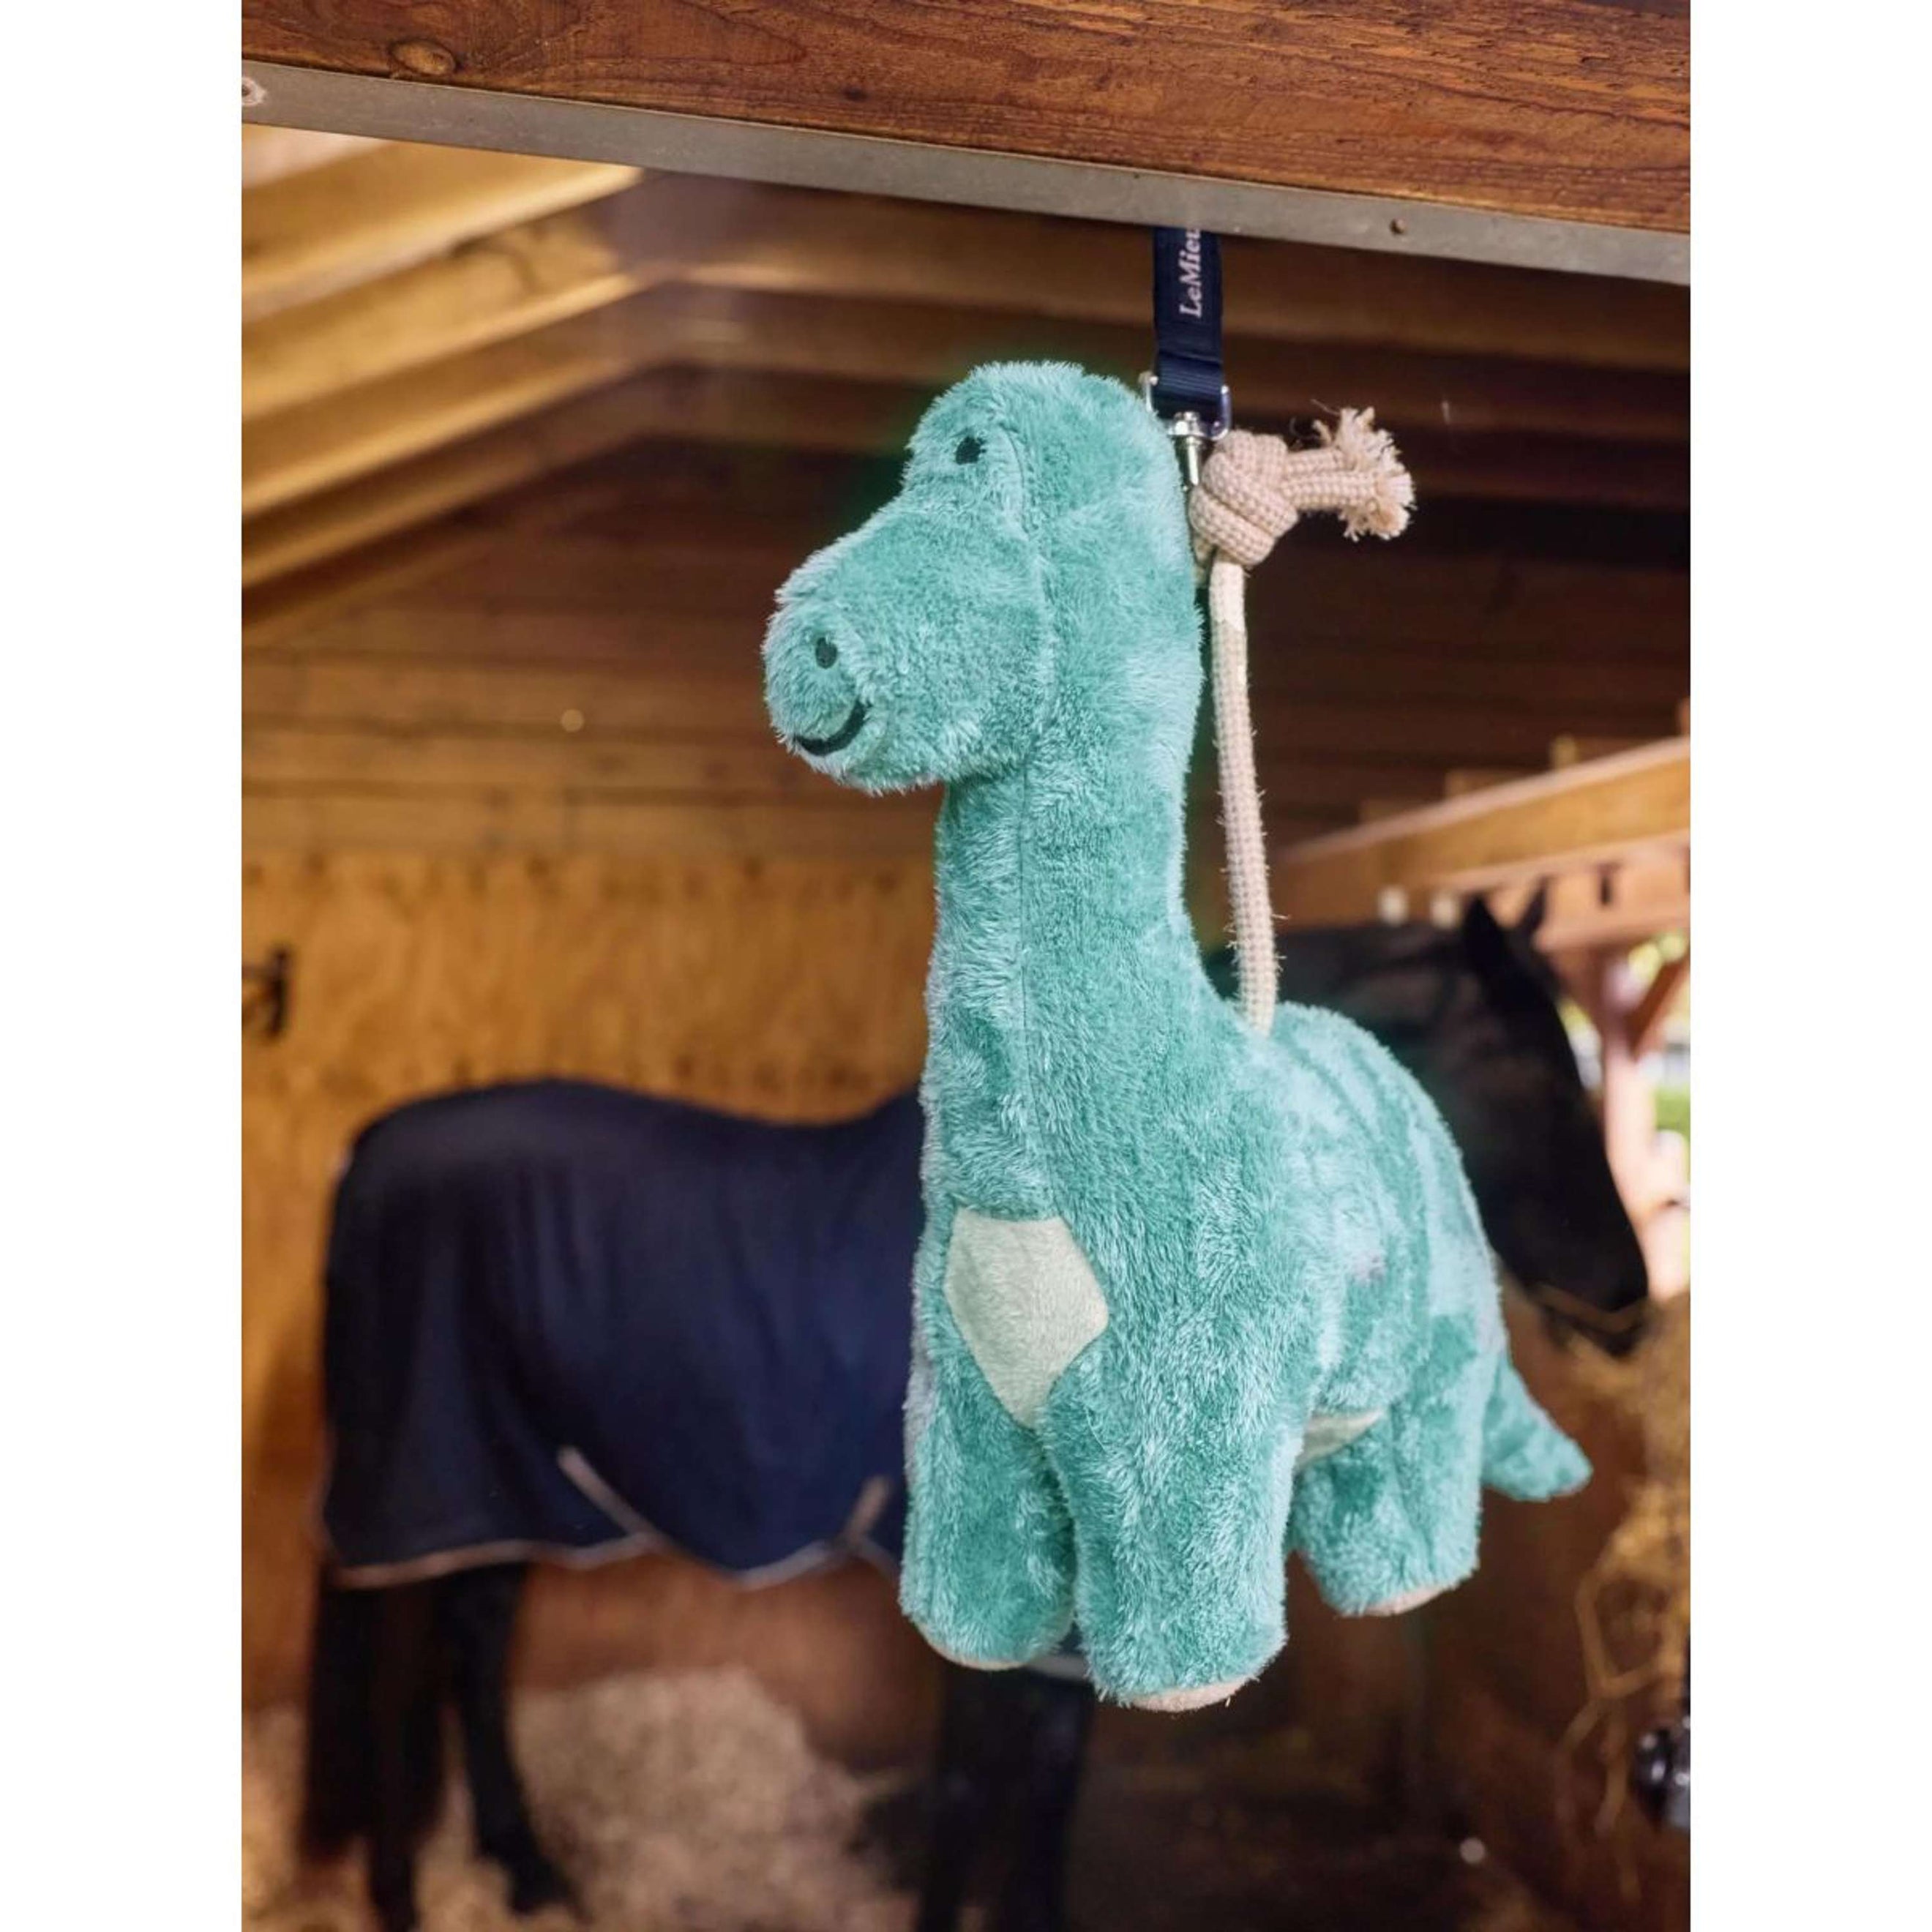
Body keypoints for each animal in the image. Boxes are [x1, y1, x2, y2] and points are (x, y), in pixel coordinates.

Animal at [296, 889, 1644, 1931]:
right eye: (1534, 1074)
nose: (1630, 1302)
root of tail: (368, 1152)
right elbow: (967, 1788)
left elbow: (1044, 1787)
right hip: (429, 1482)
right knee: (397, 1676)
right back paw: (405, 1896)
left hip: (510, 1487)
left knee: (470, 1650)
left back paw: (525, 1872)